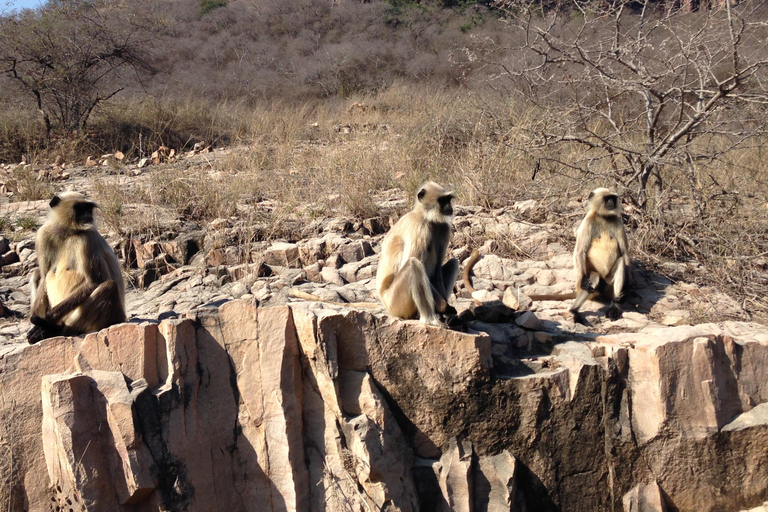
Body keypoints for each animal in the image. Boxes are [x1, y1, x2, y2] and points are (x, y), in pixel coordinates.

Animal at [27, 192, 126, 344]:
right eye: (79, 208)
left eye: (88, 208)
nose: (88, 214)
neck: (67, 232)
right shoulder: (43, 235)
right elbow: (44, 277)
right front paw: (36, 323)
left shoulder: (87, 238)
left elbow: (95, 282)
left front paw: (44, 322)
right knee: (37, 273)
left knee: (108, 286)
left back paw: (53, 329)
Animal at [376, 182, 460, 326]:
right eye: (442, 200)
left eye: (448, 200)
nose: (450, 207)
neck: (427, 217)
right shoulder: (418, 226)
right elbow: (411, 260)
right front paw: (445, 307)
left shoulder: (443, 227)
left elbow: (437, 270)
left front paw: (447, 312)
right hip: (394, 302)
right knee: (413, 263)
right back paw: (430, 319)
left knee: (454, 262)